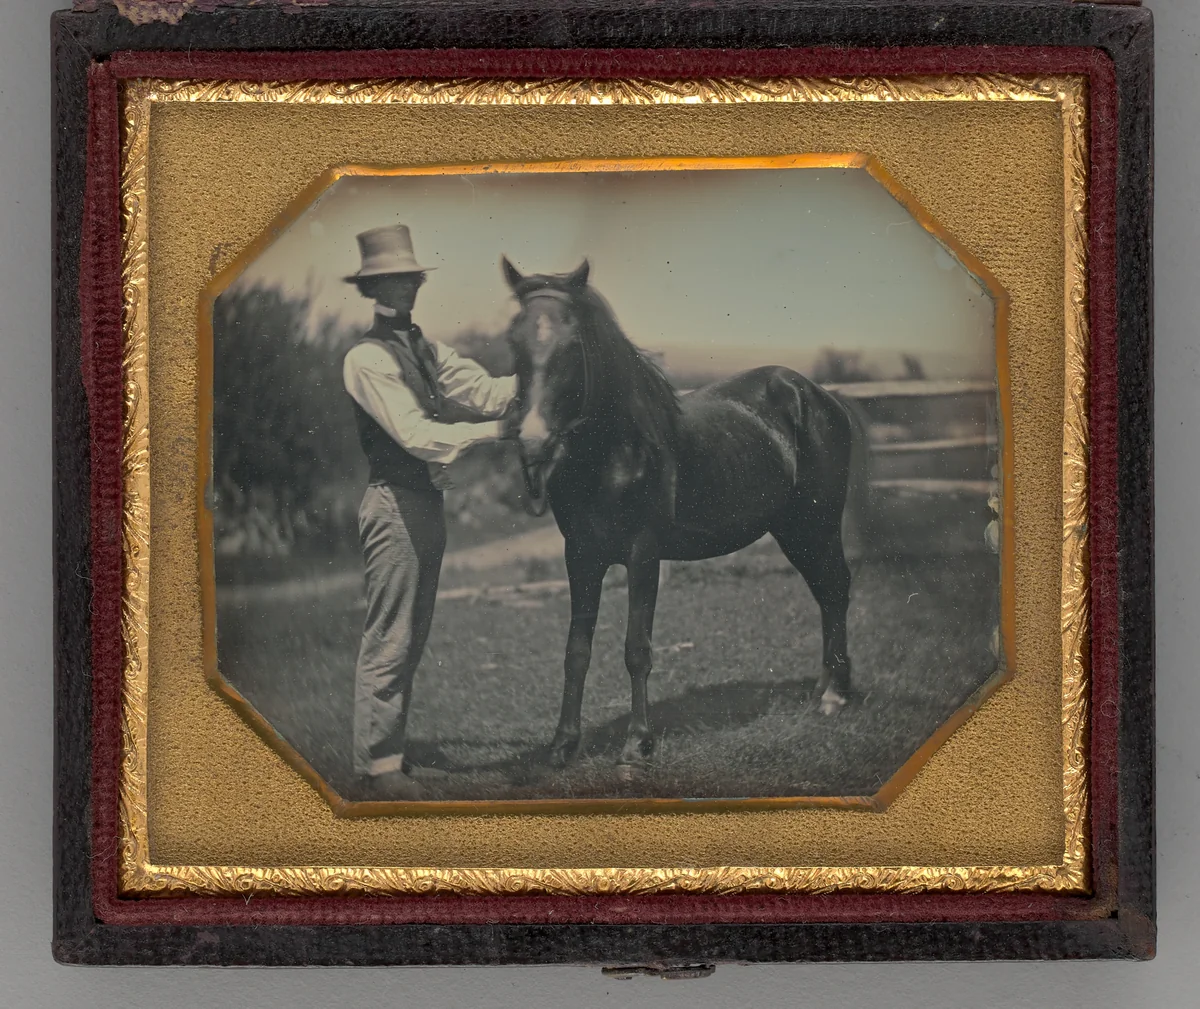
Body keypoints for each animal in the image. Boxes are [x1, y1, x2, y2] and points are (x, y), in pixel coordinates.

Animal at [501, 257, 867, 771]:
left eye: (573, 344)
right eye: (513, 341)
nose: (533, 443)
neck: (618, 451)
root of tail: (818, 395)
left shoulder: (643, 555)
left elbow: (637, 649)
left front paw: (637, 745)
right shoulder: (581, 557)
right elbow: (576, 650)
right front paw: (563, 745)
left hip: (816, 524)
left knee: (836, 588)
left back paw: (835, 695)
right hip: (793, 531)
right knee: (826, 592)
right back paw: (826, 689)